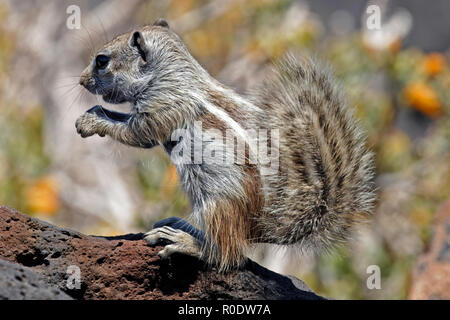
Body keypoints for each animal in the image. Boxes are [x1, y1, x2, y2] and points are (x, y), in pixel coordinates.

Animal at [76, 18, 376, 272]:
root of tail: (264, 228)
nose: (81, 80)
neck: (172, 73)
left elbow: (136, 134)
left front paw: (91, 122)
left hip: (217, 204)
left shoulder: (161, 109)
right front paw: (91, 113)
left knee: (227, 253)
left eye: (102, 61)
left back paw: (185, 242)